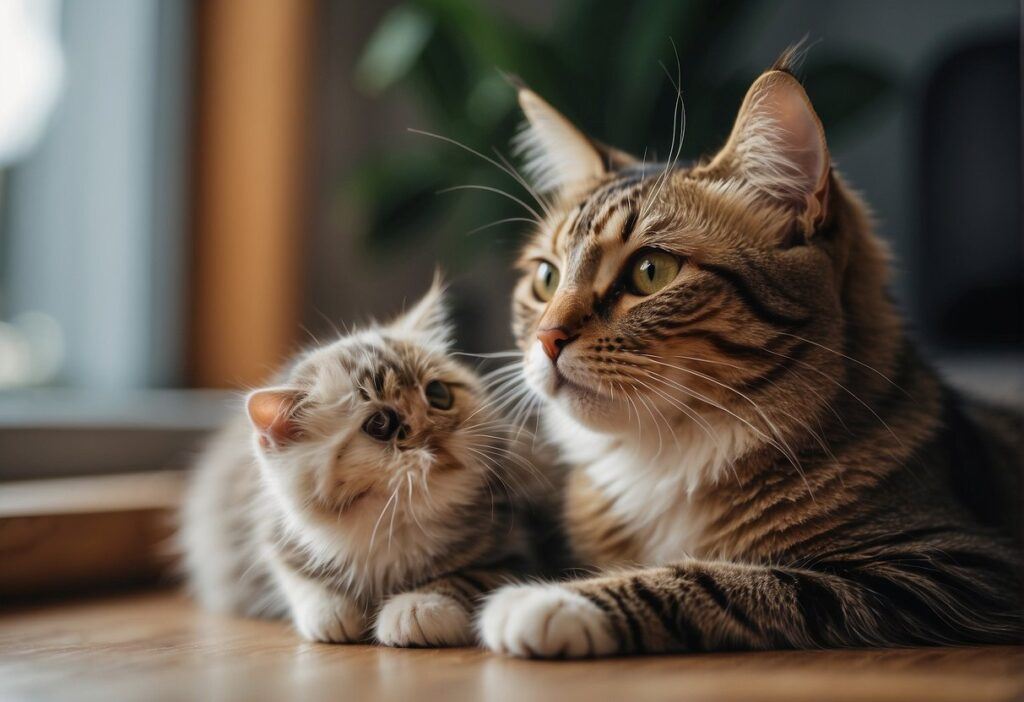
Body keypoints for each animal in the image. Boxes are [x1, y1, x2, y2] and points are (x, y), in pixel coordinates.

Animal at [182, 282, 536, 650]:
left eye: (439, 395)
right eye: (379, 424)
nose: (433, 434)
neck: (394, 525)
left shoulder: (514, 551)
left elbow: (468, 577)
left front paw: (420, 607)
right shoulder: (273, 533)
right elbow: (297, 577)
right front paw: (333, 611)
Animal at [479, 50, 1024, 659]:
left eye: (651, 272)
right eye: (546, 279)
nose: (547, 338)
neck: (664, 457)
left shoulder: (955, 565)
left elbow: (733, 579)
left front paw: (552, 600)